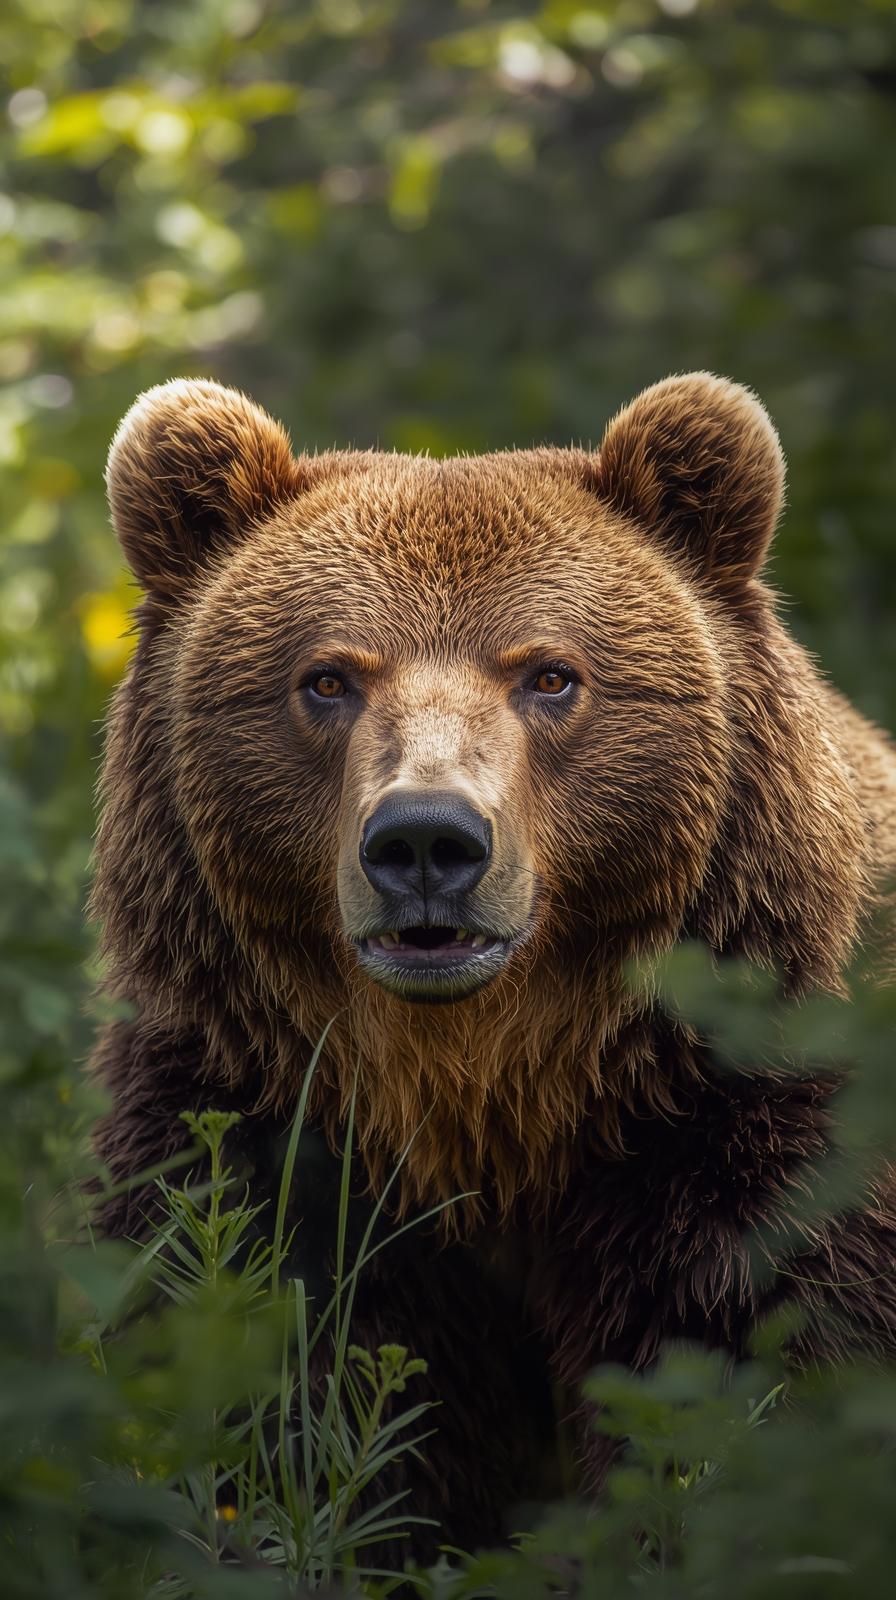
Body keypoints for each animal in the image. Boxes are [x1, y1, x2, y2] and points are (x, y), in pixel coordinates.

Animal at [91, 371, 896, 1552]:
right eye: (327, 678)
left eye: (550, 675)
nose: (426, 841)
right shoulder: (251, 1121)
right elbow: (282, 1384)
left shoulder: (753, 1136)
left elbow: (746, 1367)